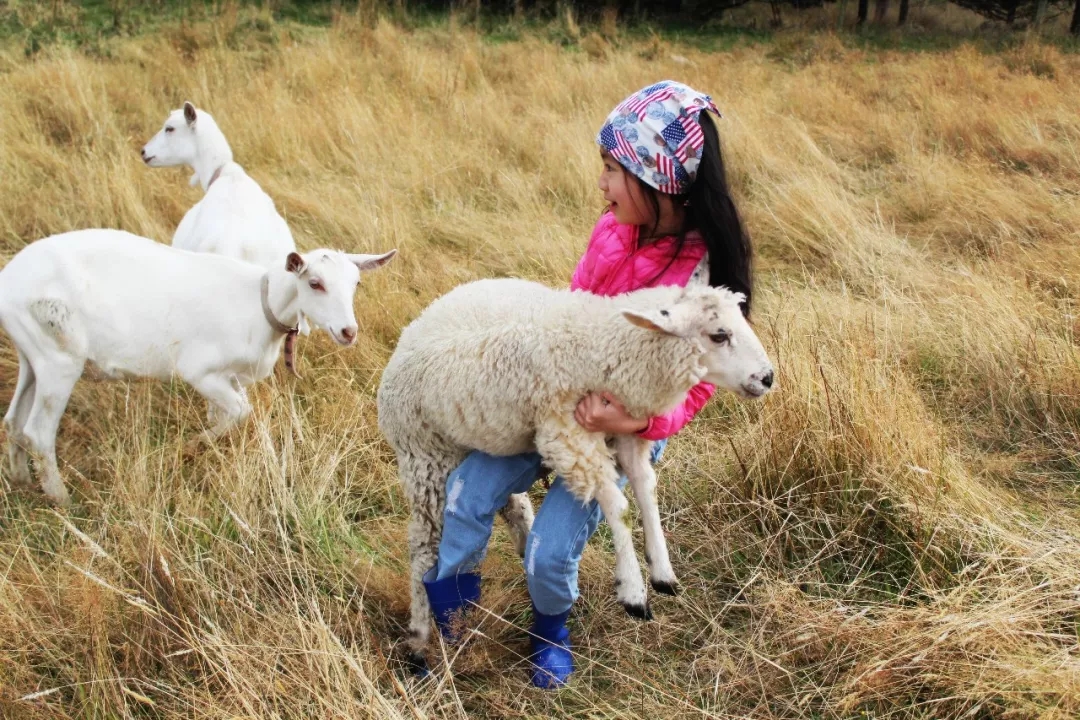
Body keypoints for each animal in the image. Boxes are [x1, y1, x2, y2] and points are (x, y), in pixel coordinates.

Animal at [0, 227, 397, 505]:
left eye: (356, 283)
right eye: (315, 283)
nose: (347, 331)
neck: (261, 302)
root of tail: (9, 281)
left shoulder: (231, 377)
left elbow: (232, 413)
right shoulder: (200, 371)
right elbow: (239, 412)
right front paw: (191, 446)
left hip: (33, 356)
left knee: (14, 421)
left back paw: (21, 481)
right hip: (59, 359)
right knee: (38, 431)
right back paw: (62, 499)